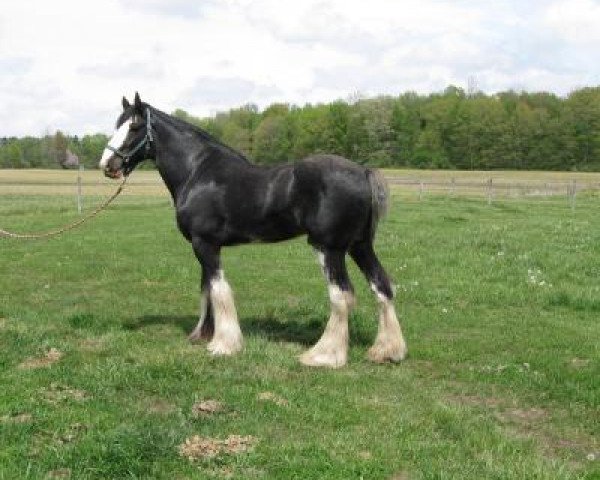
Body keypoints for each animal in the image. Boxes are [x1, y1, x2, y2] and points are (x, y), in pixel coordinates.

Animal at [101, 94, 408, 372]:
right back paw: (387, 351)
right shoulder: (207, 246)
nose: (107, 165)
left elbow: (218, 290)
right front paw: (203, 335)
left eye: (135, 126)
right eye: (117, 123)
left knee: (341, 295)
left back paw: (323, 356)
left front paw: (224, 345)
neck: (198, 171)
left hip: (329, 248)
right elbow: (207, 290)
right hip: (360, 245)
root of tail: (364, 172)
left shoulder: (204, 244)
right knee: (381, 287)